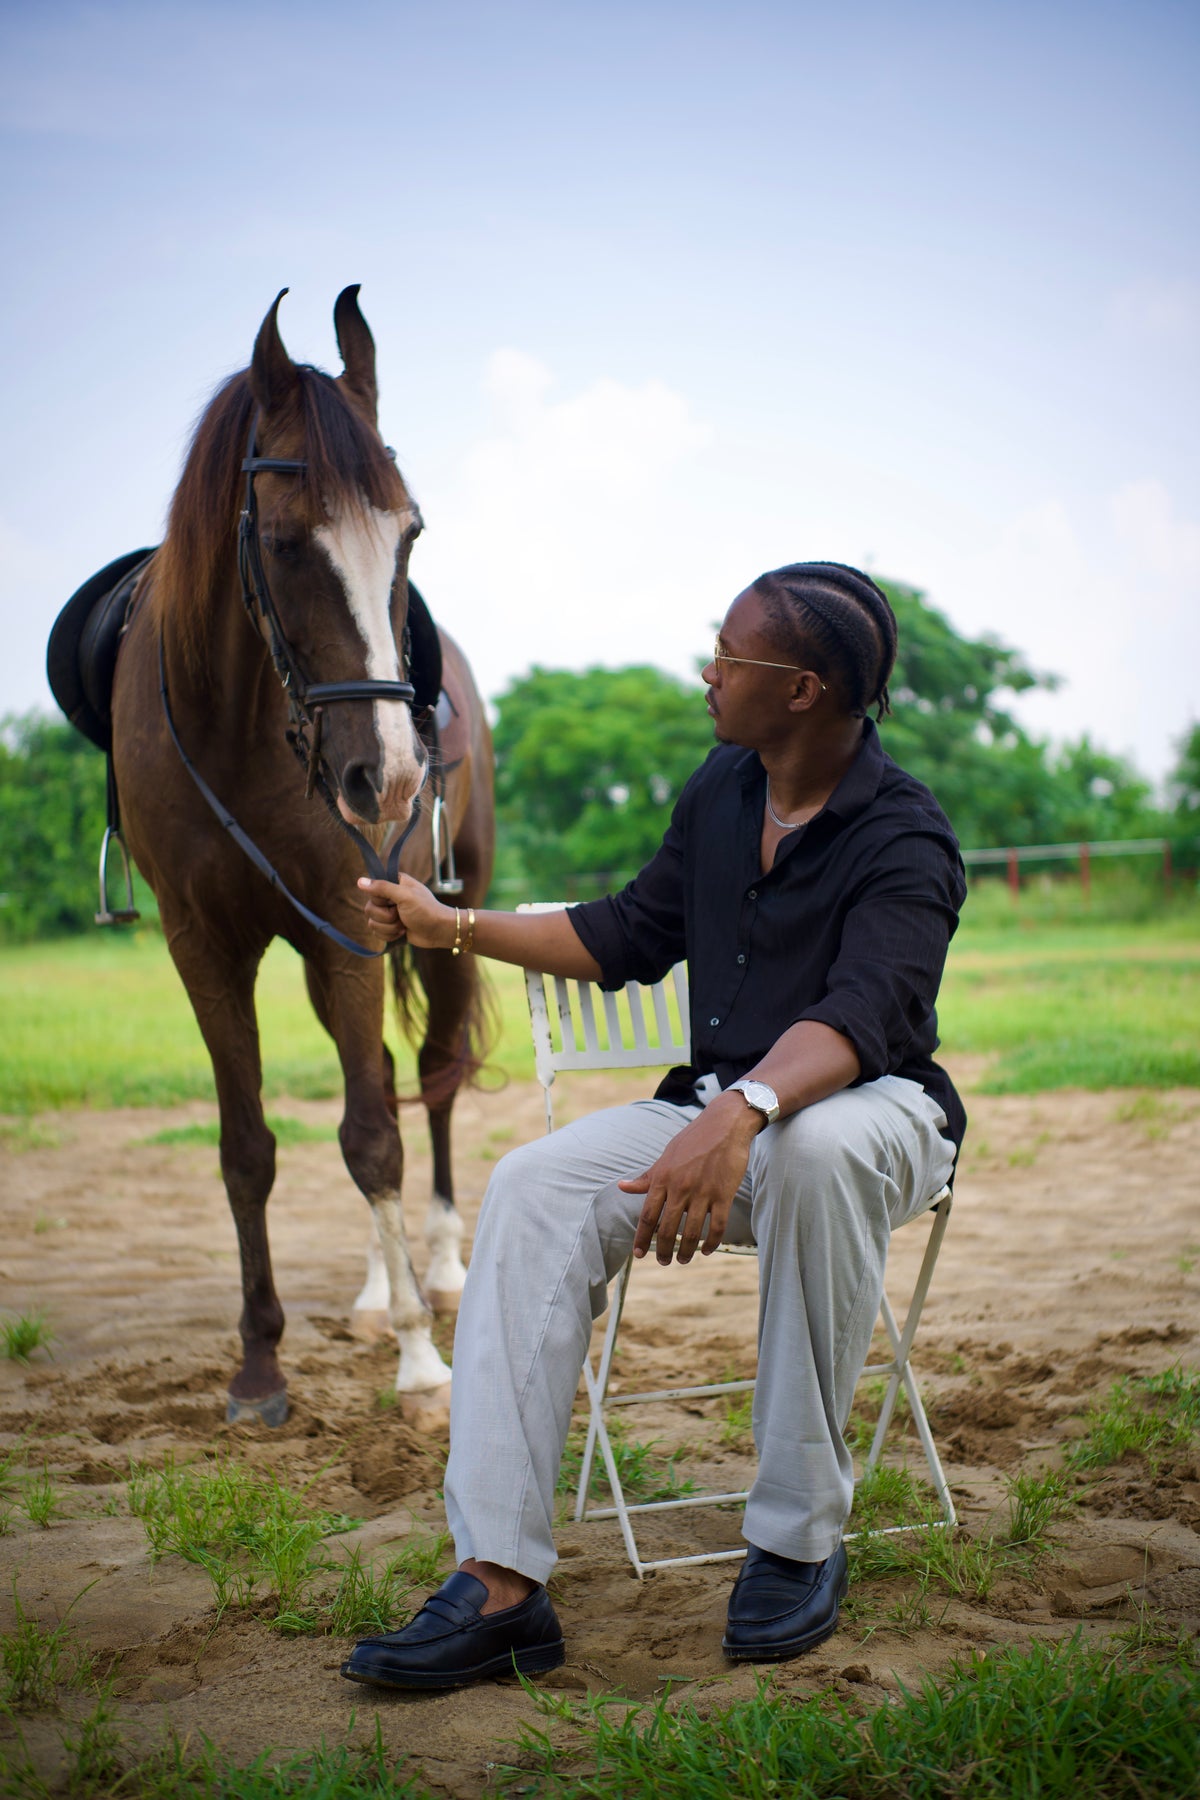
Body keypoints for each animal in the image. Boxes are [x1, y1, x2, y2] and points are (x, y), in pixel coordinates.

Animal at [106, 287, 494, 1426]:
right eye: (281, 543)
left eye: (409, 534)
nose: (393, 777)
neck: (241, 726)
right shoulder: (205, 947)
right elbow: (249, 1150)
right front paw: (260, 1369)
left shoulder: (355, 925)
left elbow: (374, 1137)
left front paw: (421, 1366)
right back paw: (374, 1291)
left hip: (441, 925)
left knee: (431, 1081)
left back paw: (436, 1274)